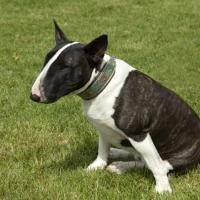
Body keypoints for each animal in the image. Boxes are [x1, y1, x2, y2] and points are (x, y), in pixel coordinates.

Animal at [30, 19, 200, 192]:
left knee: (156, 164)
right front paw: (96, 167)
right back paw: (118, 156)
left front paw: (162, 190)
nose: (34, 96)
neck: (102, 84)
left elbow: (155, 166)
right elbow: (102, 148)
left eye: (65, 67)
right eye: (46, 60)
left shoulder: (139, 134)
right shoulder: (102, 127)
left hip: (175, 157)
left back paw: (122, 166)